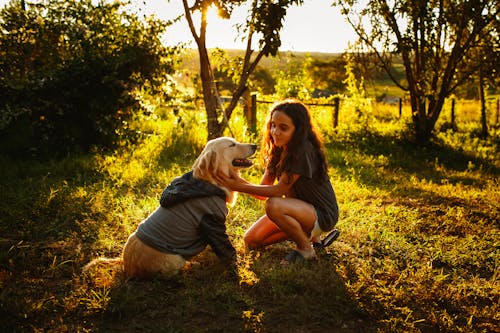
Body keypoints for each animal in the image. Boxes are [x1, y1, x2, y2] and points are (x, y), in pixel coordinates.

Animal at [83, 136, 256, 278]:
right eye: (232, 145)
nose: (255, 145)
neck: (207, 183)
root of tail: (126, 266)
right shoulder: (212, 223)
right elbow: (227, 250)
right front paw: (237, 269)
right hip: (175, 258)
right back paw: (193, 265)